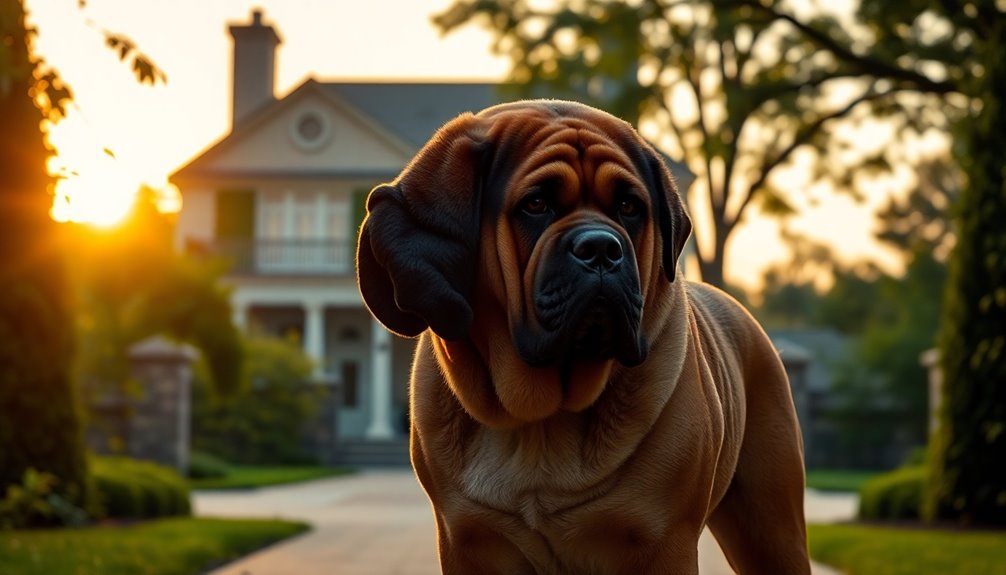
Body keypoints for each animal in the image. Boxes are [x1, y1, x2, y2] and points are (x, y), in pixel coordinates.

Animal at [354, 101, 808, 570]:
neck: (537, 423)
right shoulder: (467, 541)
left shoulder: (665, 542)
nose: (602, 248)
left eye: (629, 206)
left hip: (771, 529)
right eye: (536, 204)